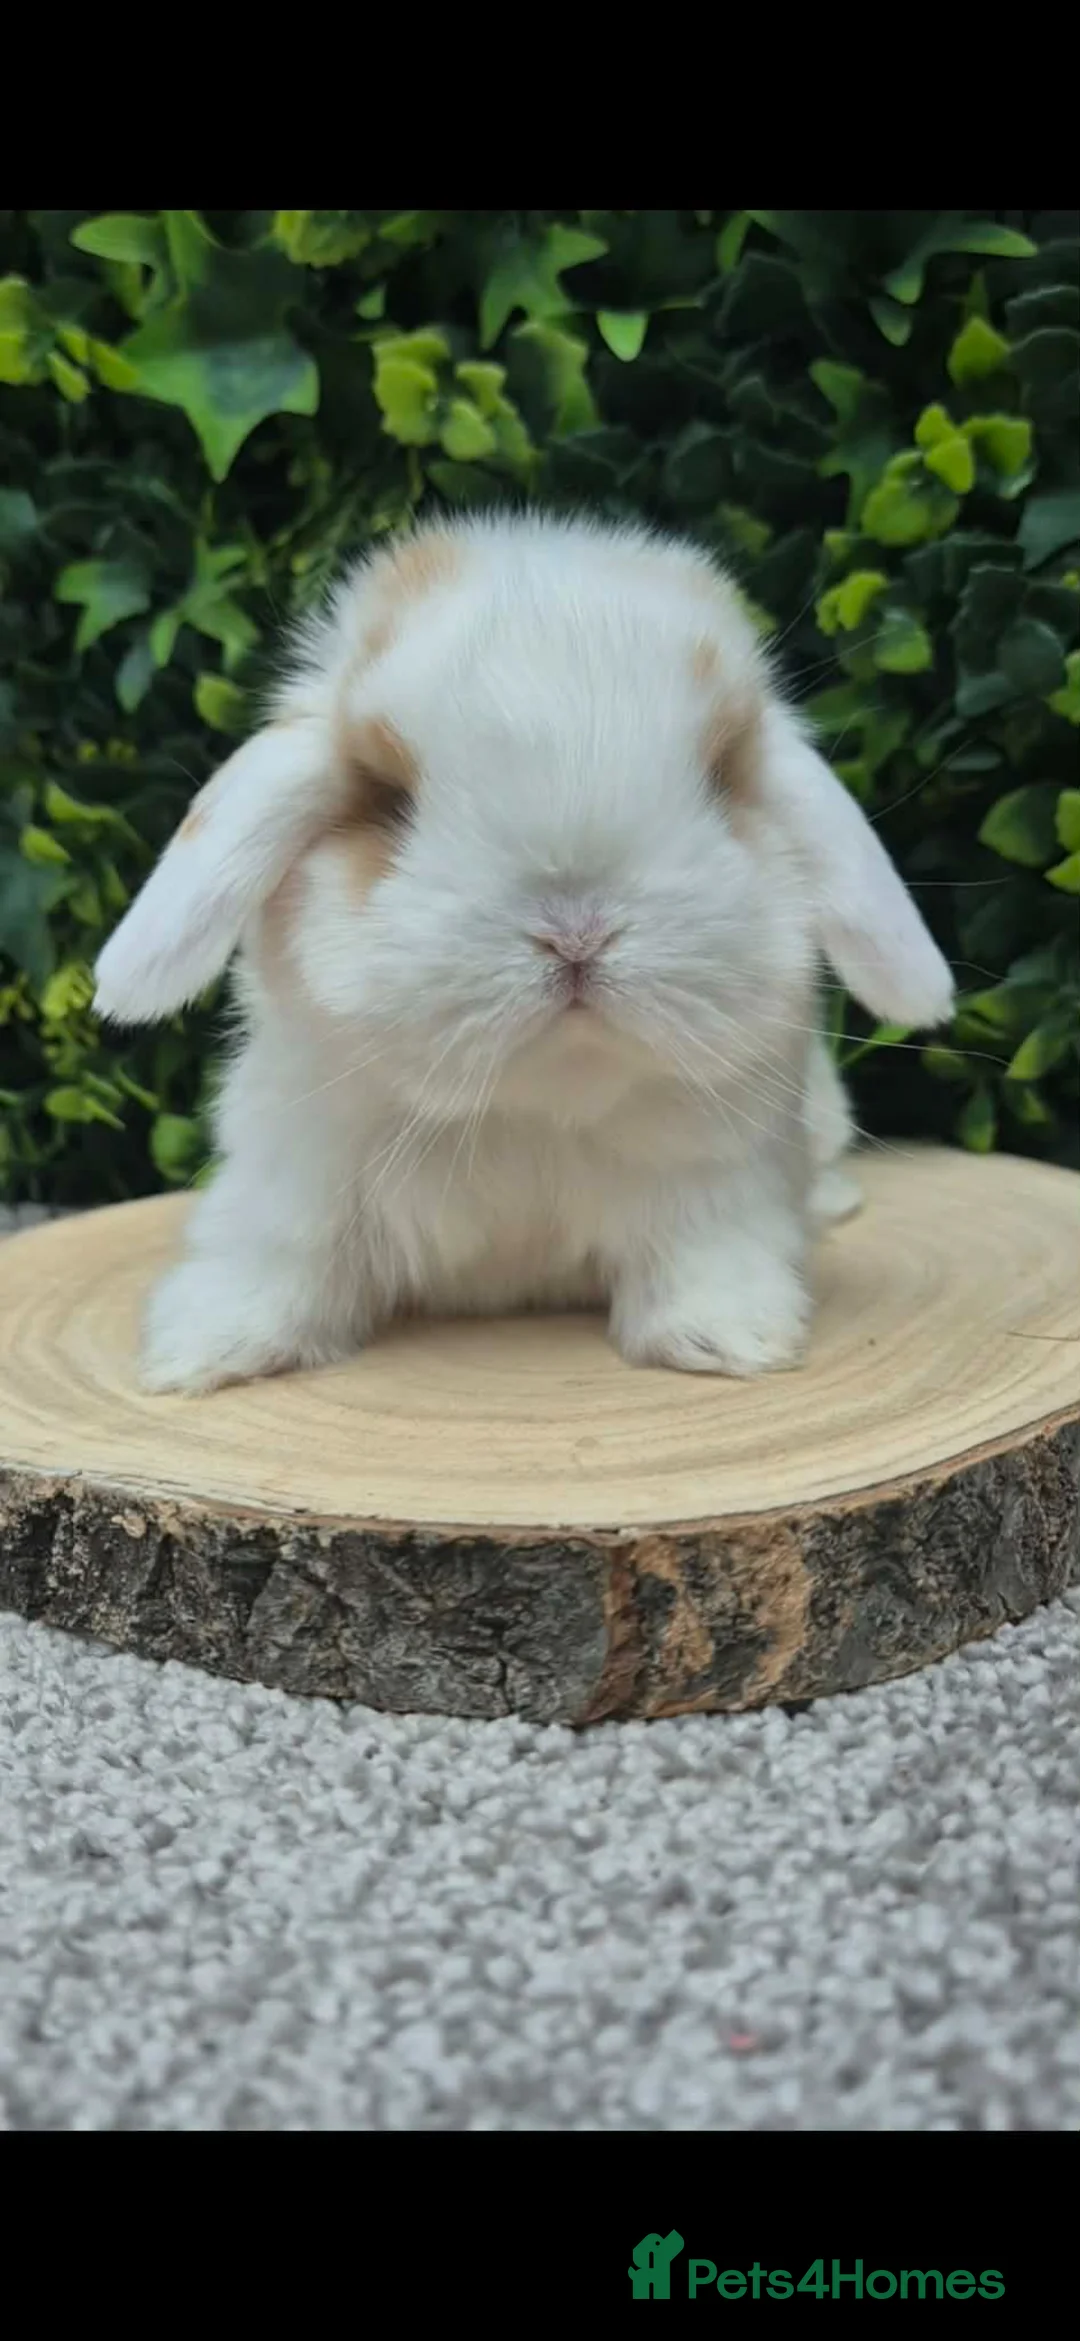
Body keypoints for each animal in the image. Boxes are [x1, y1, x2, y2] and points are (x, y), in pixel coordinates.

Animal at [94, 512, 954, 1394]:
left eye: (720, 775)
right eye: (385, 794)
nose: (576, 931)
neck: (530, 1106)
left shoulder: (717, 1186)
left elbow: (707, 1256)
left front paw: (728, 1339)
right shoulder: (296, 1173)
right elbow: (277, 1255)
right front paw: (203, 1349)